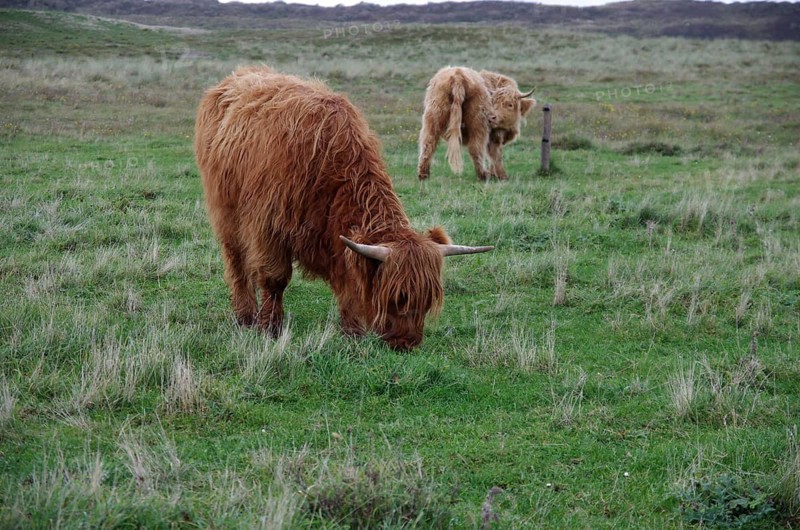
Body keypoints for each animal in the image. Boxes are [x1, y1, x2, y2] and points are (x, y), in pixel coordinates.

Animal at [195, 66, 493, 351]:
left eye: (427, 300)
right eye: (398, 297)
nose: (406, 344)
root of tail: (237, 76)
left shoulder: (337, 241)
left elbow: (349, 284)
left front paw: (353, 331)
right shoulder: (268, 226)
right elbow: (275, 279)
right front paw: (269, 327)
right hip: (226, 211)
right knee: (236, 261)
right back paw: (245, 315)